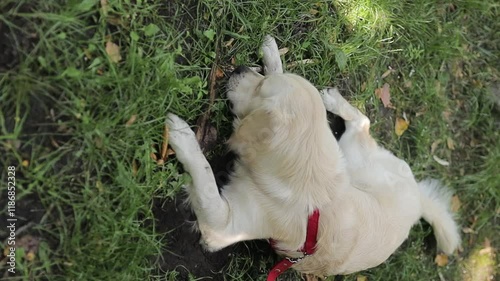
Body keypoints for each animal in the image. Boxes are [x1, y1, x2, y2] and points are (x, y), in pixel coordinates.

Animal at [165, 36, 460, 276]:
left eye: (261, 87)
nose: (238, 69)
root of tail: (417, 200)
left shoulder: (224, 227)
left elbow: (204, 174)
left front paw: (181, 134)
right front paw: (271, 53)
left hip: (355, 155)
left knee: (363, 122)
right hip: (344, 156)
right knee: (362, 121)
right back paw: (329, 98)